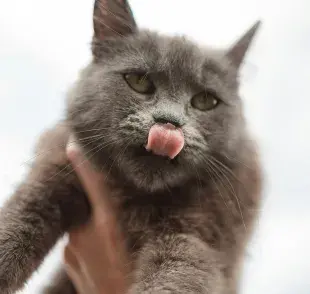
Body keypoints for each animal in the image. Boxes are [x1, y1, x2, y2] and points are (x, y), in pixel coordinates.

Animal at [0, 0, 262, 294]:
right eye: (138, 81)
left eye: (205, 100)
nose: (169, 123)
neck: (135, 197)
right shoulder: (57, 167)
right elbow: (22, 214)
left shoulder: (202, 233)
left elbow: (177, 276)